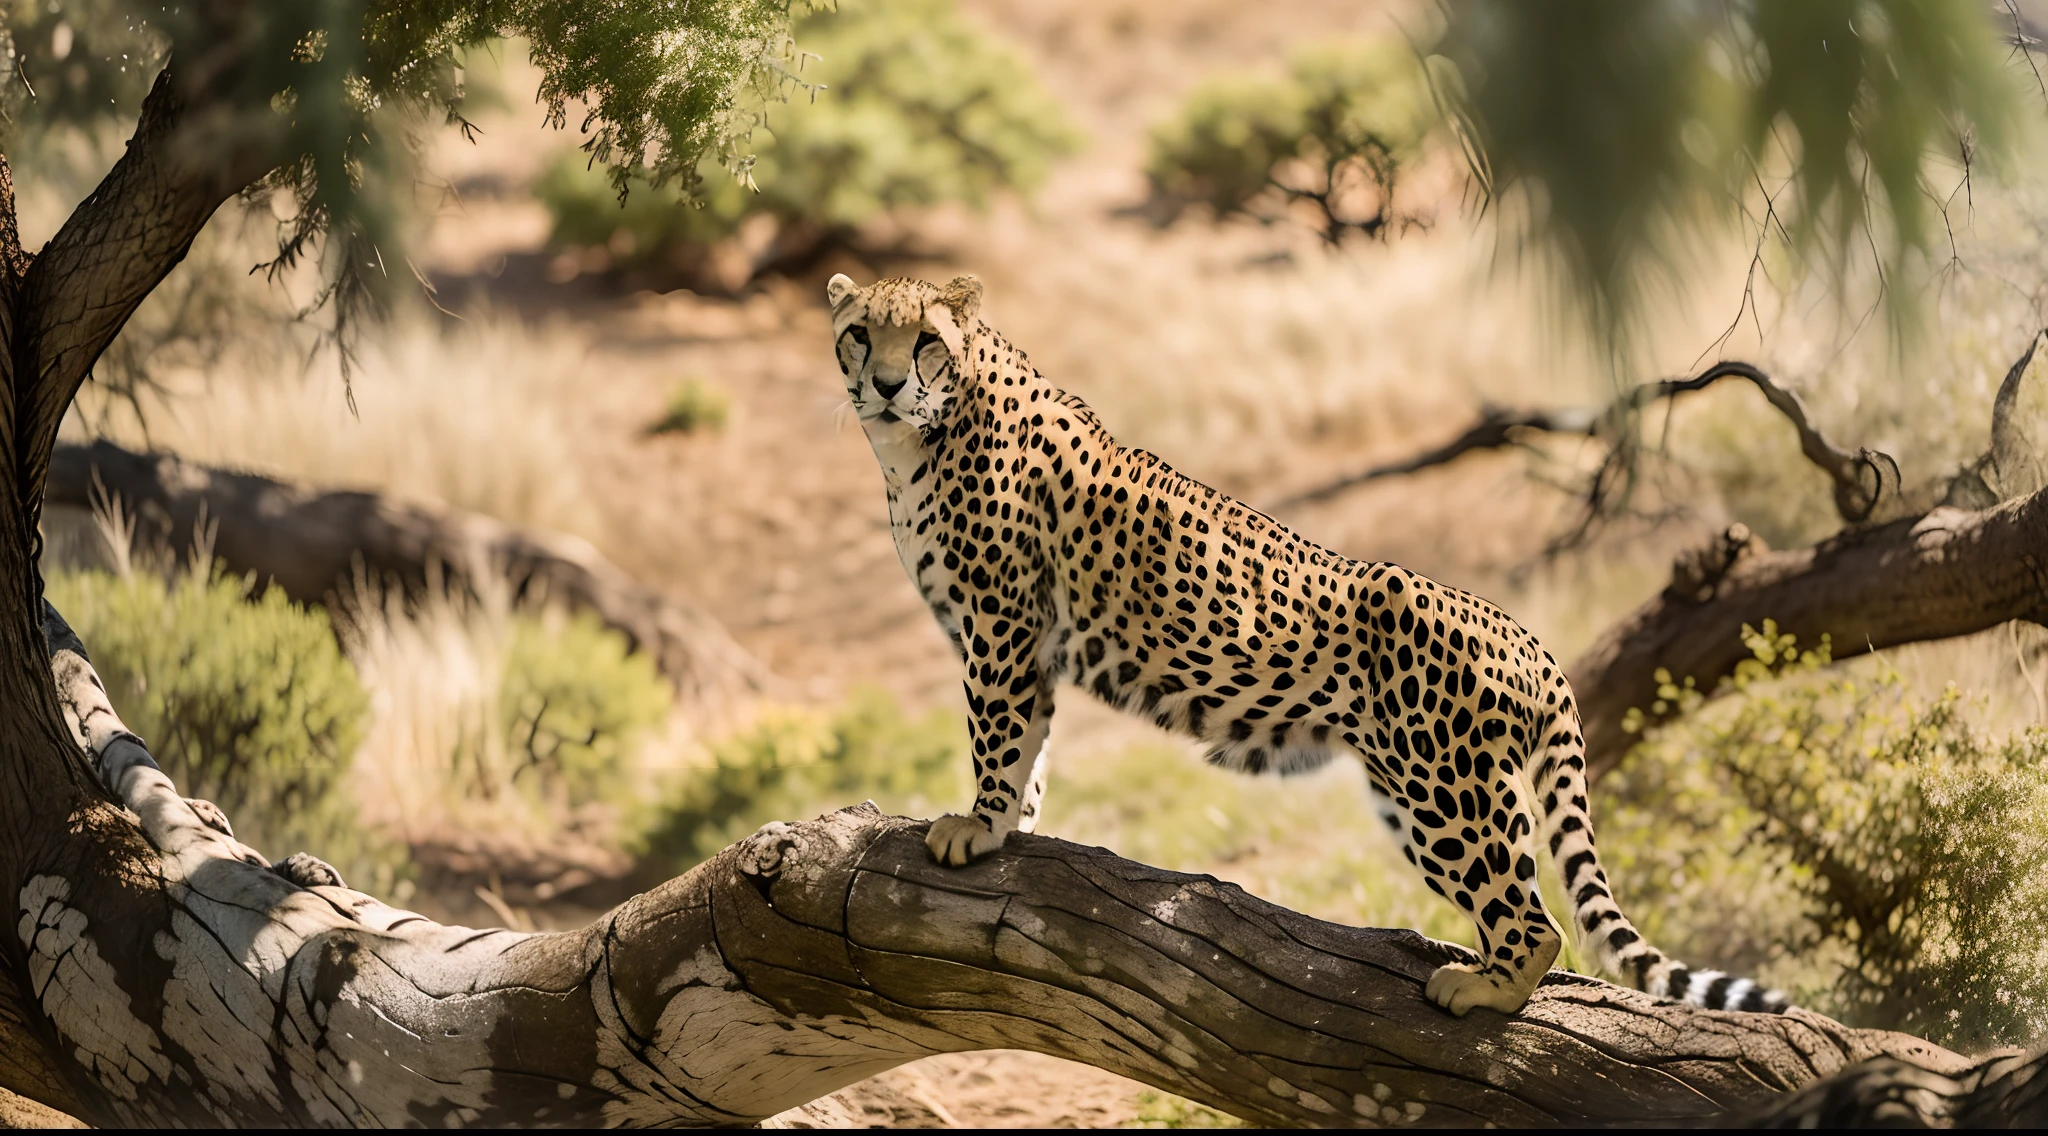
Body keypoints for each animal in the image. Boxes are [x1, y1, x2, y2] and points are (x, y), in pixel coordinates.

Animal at [823, 274, 1785, 1023]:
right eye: (862, 333)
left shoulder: (1001, 623)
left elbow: (998, 733)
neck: (915, 443)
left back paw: (1481, 988)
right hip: (1416, 789)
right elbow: (1032, 741)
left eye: (926, 342)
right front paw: (1014, 825)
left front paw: (978, 827)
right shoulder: (1028, 639)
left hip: (1446, 789)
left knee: (1536, 921)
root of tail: (1525, 634)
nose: (885, 384)